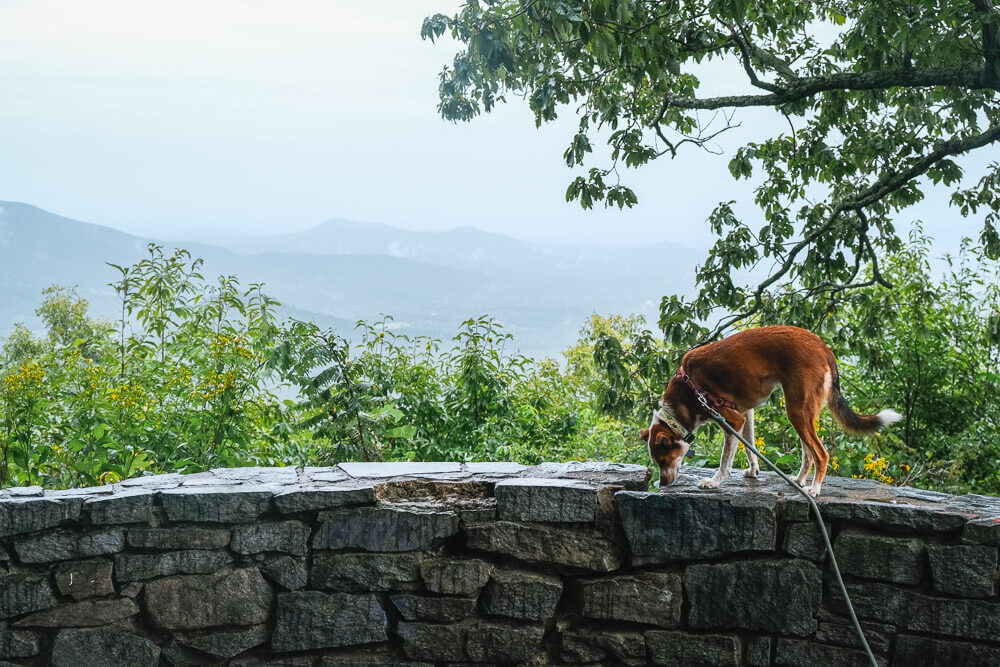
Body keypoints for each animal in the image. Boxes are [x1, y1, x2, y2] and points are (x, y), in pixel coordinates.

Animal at [644, 326, 904, 498]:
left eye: (663, 459)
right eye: (657, 462)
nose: (663, 483)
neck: (689, 388)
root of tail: (823, 348)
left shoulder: (732, 419)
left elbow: (725, 461)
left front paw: (715, 482)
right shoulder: (745, 415)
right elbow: (750, 447)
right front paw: (753, 470)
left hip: (797, 411)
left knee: (821, 454)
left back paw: (814, 488)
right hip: (802, 412)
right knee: (808, 454)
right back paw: (799, 480)